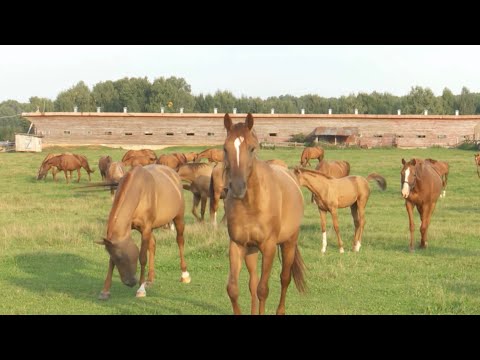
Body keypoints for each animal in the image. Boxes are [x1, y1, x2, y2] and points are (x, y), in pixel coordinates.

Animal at [96, 165, 190, 300]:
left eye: (121, 257)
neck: (139, 191)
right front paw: (105, 291)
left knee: (180, 241)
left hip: (179, 218)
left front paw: (141, 289)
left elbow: (142, 258)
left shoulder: (145, 229)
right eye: (116, 258)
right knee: (153, 244)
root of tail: (173, 173)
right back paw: (149, 279)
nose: (130, 282)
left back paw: (184, 275)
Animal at [222, 113, 304, 316]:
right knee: (252, 282)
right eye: (225, 148)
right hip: (251, 250)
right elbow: (233, 289)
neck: (251, 204)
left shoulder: (269, 247)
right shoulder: (236, 245)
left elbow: (263, 289)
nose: (237, 188)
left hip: (289, 243)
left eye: (252, 148)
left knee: (284, 279)